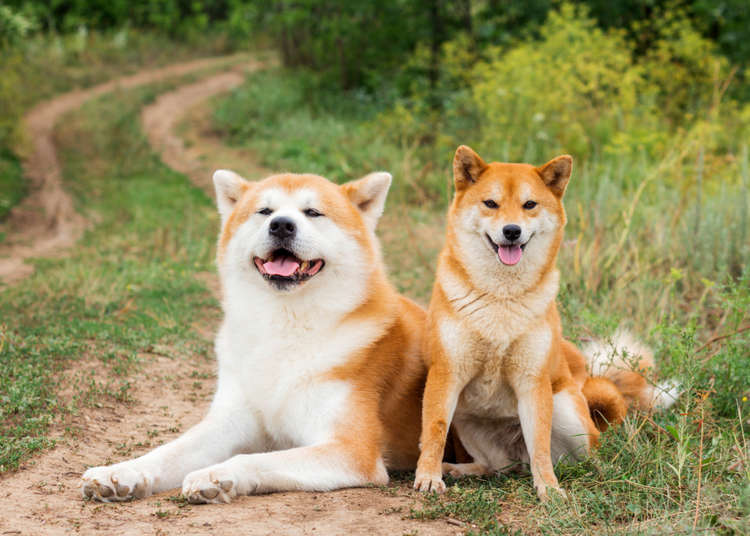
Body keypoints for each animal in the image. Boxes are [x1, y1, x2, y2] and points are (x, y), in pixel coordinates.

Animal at [81, 169, 428, 502]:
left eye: (313, 212)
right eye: (265, 211)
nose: (282, 225)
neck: (284, 325)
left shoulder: (352, 449)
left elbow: (254, 459)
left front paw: (217, 474)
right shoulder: (229, 421)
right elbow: (168, 451)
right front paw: (122, 471)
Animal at [414, 147, 680, 498]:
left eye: (529, 205)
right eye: (490, 203)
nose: (512, 230)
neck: (501, 299)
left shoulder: (533, 382)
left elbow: (539, 444)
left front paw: (549, 490)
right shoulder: (446, 374)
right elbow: (434, 432)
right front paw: (429, 476)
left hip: (566, 410)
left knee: (580, 454)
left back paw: (598, 472)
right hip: (466, 420)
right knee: (496, 466)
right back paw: (460, 469)